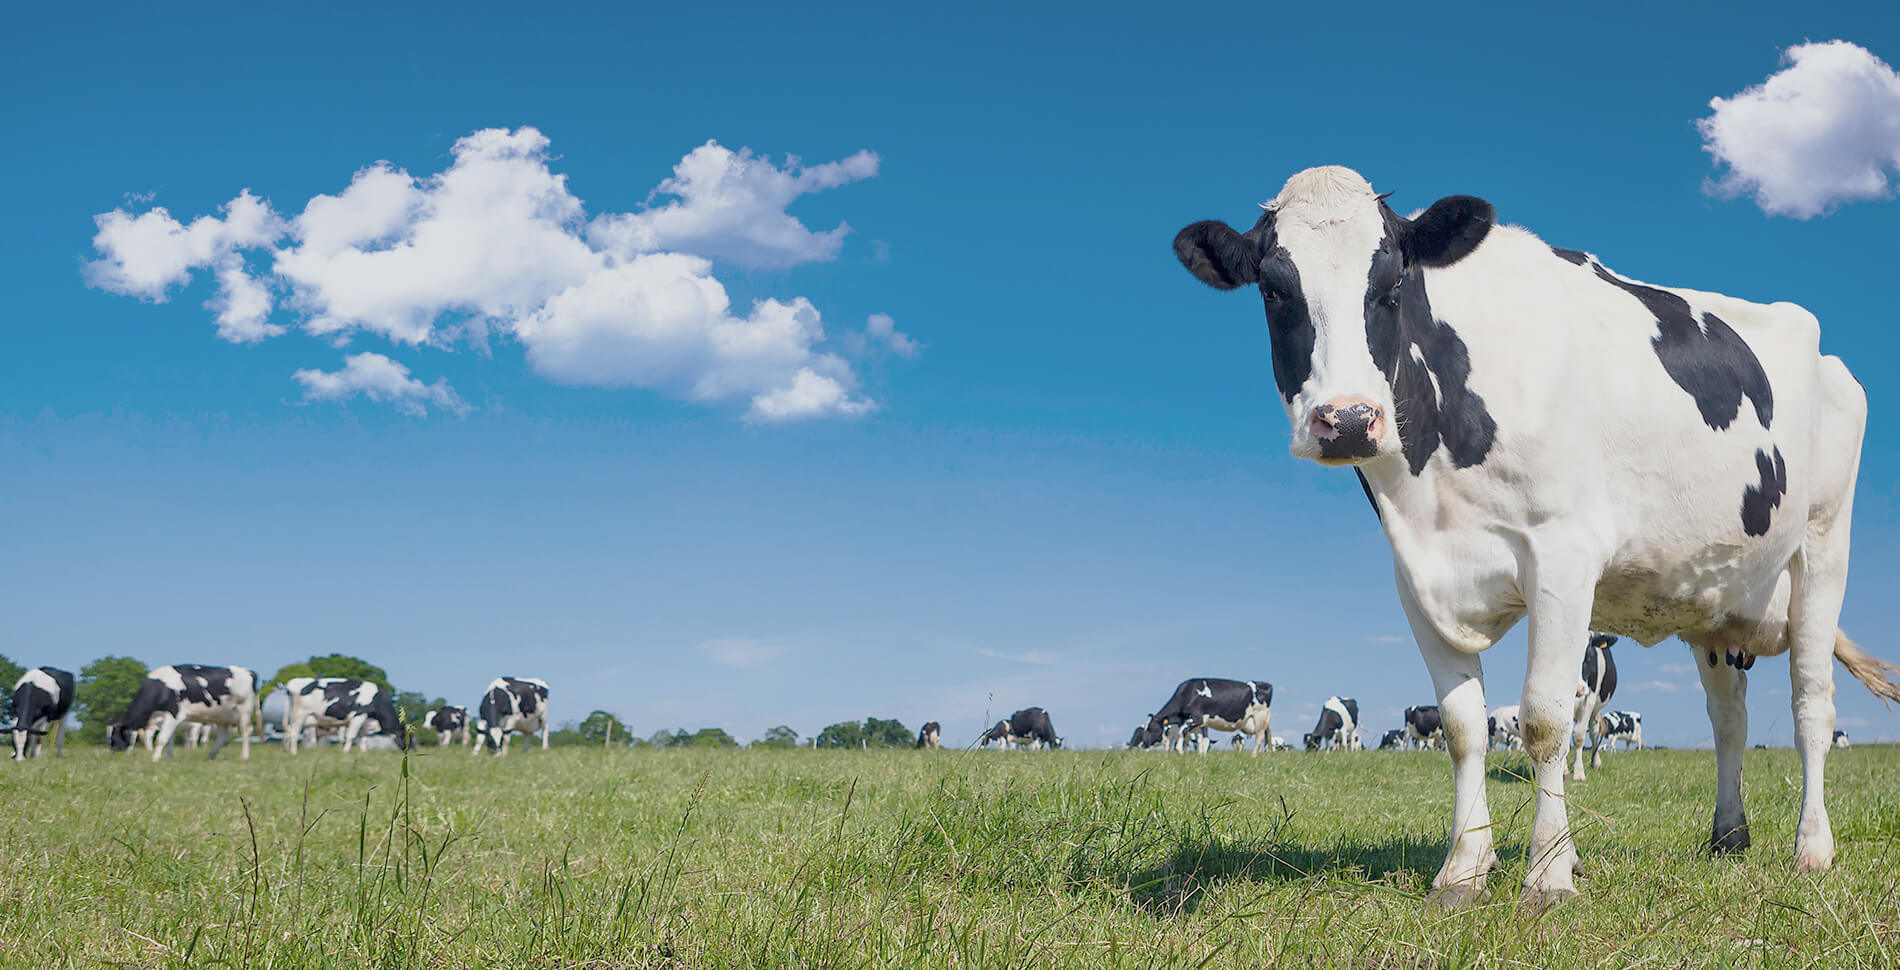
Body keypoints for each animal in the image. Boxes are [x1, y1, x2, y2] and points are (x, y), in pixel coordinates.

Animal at [108, 664, 260, 763]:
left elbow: (161, 739)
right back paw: (210, 756)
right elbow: (169, 739)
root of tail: (249, 672)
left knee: (246, 731)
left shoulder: (174, 714)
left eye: (115, 738)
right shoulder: (165, 719)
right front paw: (167, 757)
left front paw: (155, 758)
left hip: (244, 710)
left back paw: (244, 757)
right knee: (222, 736)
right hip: (223, 715)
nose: (113, 754)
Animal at [1140, 679, 1276, 755]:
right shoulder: (1202, 723)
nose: (1143, 745)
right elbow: (1203, 740)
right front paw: (1201, 756)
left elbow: (1181, 733)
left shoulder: (1196, 718)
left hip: (1259, 717)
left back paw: (1254, 755)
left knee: (1259, 737)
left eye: (1151, 729)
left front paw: (1180, 752)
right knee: (1267, 736)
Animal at [1565, 637, 1626, 782]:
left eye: (1589, 657)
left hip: (1595, 710)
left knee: (1594, 733)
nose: (1578, 689)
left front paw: (1579, 773)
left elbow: (1579, 736)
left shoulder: (1589, 700)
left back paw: (1596, 763)